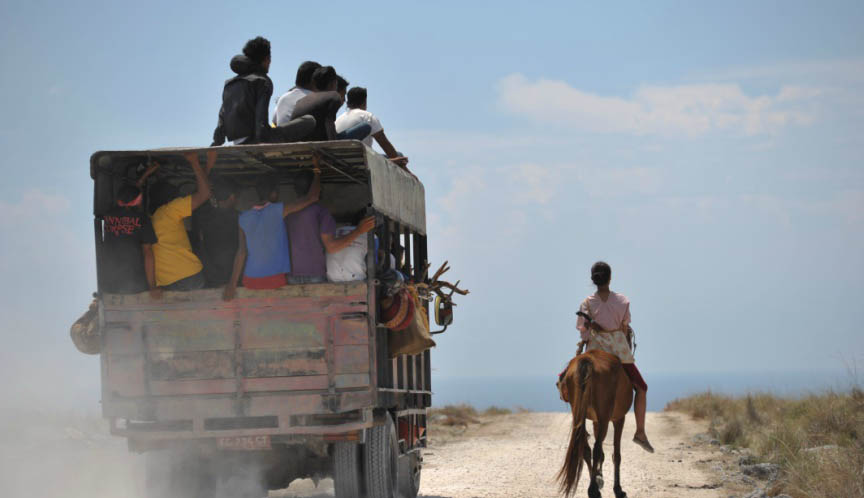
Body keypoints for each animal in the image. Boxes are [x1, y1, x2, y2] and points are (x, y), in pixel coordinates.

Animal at [556, 348, 632, 498]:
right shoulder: (618, 418)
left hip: (579, 413)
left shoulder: (596, 421)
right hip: (604, 416)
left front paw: (598, 476)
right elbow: (616, 455)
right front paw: (618, 489)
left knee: (586, 448)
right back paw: (593, 489)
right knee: (596, 449)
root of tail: (587, 360)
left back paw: (594, 486)